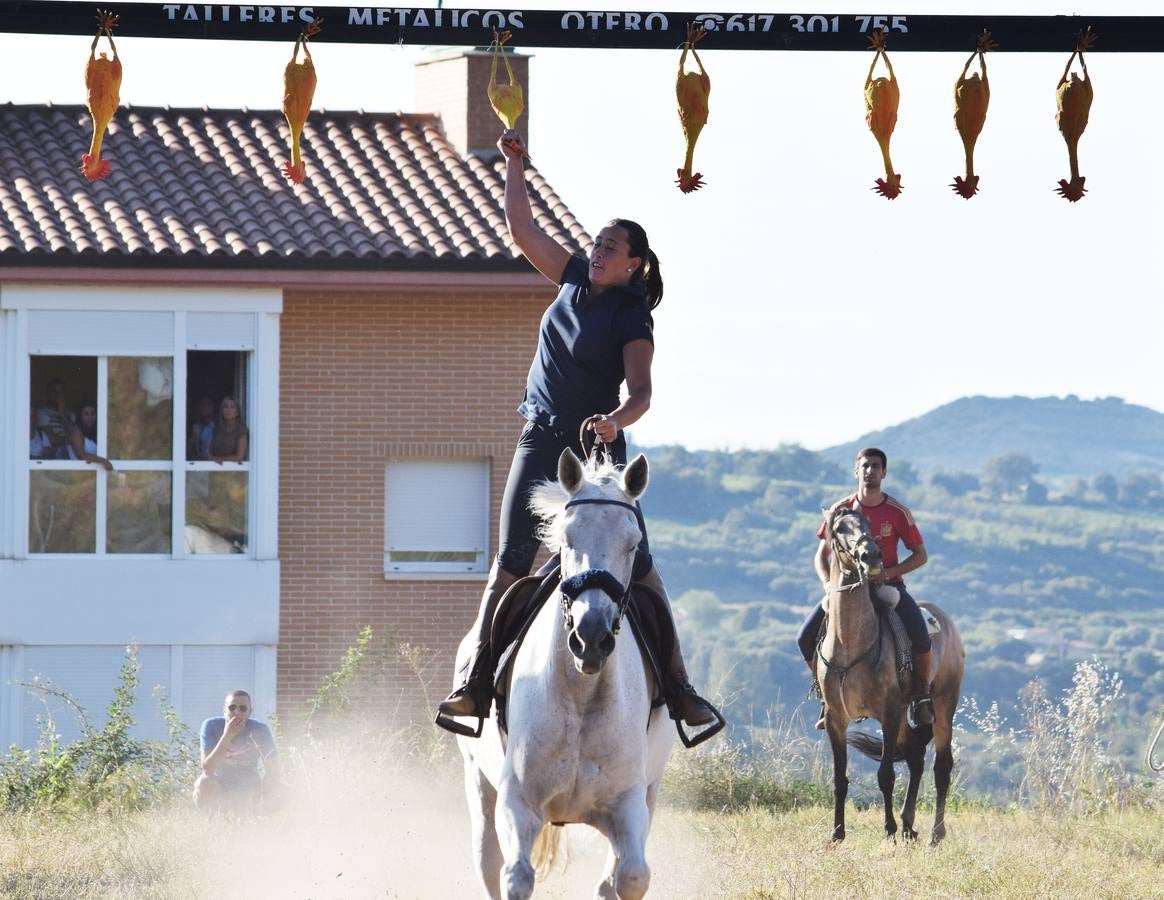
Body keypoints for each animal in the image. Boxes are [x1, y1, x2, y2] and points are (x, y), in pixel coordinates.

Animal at [453, 449, 675, 898]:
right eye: (567, 539)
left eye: (634, 545)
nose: (591, 637)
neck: (581, 693)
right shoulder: (518, 802)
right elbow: (516, 876)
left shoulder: (628, 802)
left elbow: (631, 876)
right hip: (478, 783)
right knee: (488, 863)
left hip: (650, 791)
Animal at [814, 509, 968, 847]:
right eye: (839, 528)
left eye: (869, 525)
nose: (870, 554)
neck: (850, 642)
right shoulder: (836, 719)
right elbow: (839, 779)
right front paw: (837, 834)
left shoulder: (887, 712)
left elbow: (885, 776)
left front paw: (888, 831)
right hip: (903, 715)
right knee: (914, 755)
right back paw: (909, 825)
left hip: (942, 703)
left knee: (941, 765)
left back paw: (935, 834)